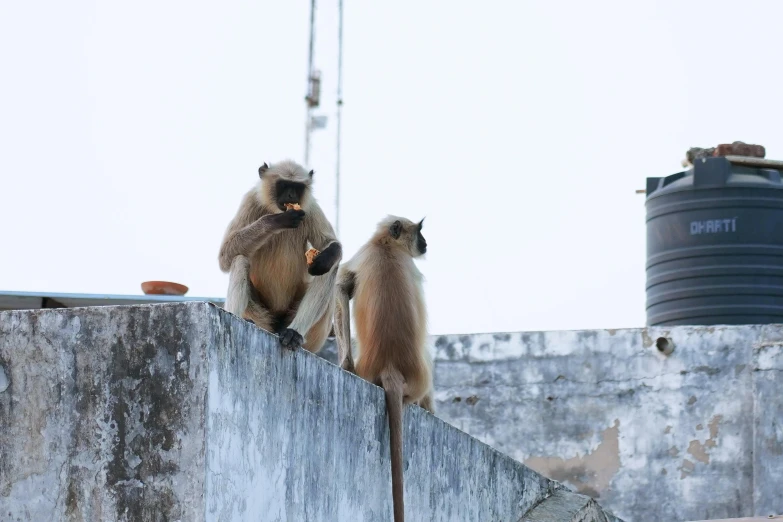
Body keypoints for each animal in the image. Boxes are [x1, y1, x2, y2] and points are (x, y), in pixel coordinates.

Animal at [220, 158, 344, 350]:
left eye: (297, 187)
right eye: (284, 185)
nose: (291, 196)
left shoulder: (311, 207)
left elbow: (331, 244)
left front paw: (325, 257)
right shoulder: (250, 200)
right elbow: (225, 255)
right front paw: (277, 221)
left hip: (311, 335)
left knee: (330, 268)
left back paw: (294, 333)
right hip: (263, 317)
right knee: (239, 259)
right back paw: (241, 320)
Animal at [334, 214, 434, 520]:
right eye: (419, 232)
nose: (426, 243)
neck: (386, 245)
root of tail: (391, 366)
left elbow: (341, 288)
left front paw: (345, 365)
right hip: (421, 381)